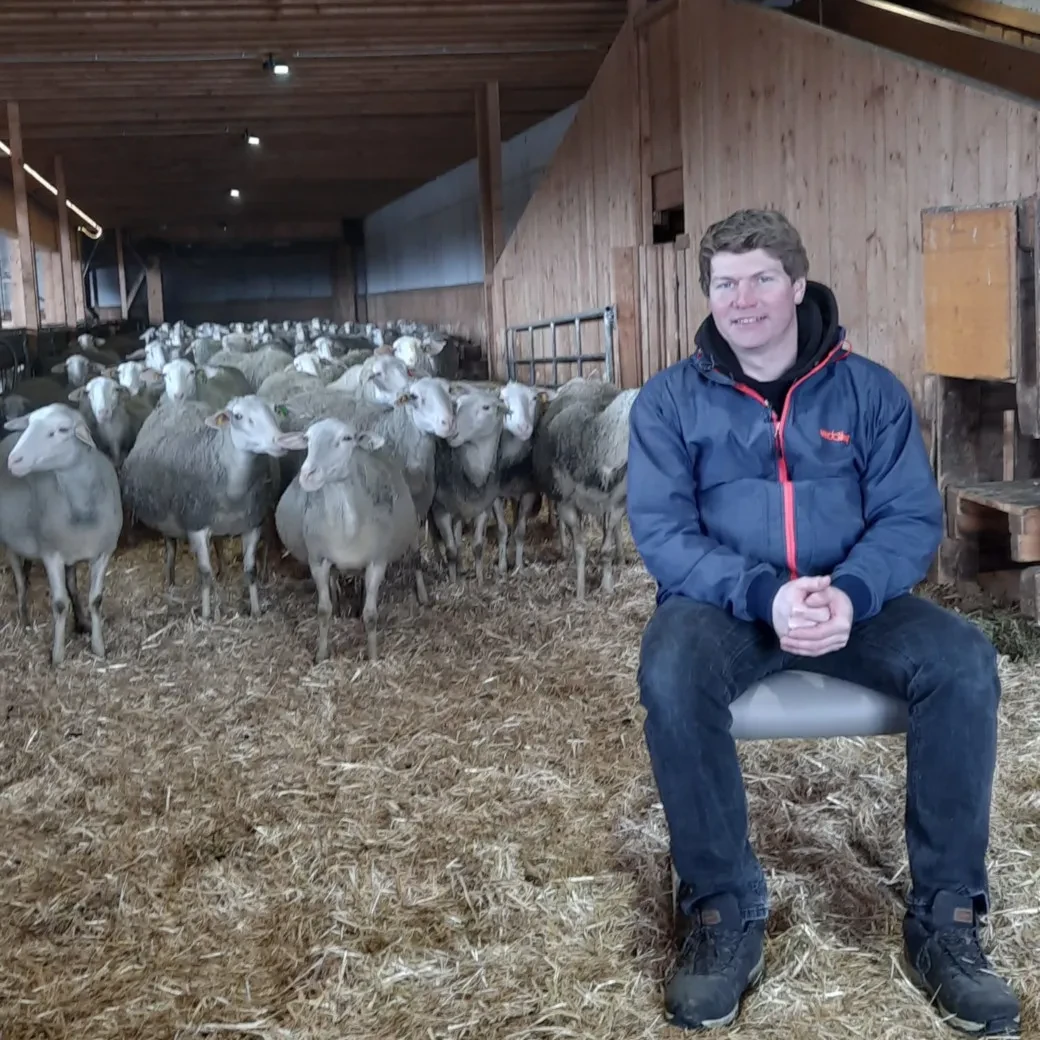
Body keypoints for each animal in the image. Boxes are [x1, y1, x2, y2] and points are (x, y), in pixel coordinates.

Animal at [120, 391, 289, 615]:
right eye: (238, 416)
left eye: (274, 409)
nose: (280, 440)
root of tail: (179, 403)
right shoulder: (196, 527)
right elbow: (205, 574)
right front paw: (207, 614)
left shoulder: (252, 525)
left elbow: (250, 570)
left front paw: (255, 610)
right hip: (167, 518)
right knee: (171, 548)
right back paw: (171, 581)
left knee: (217, 543)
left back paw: (222, 571)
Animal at [278, 411, 424, 657]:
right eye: (307, 439)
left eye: (347, 438)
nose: (308, 474)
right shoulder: (318, 560)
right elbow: (323, 610)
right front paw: (321, 654)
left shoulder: (377, 562)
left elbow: (371, 615)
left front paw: (373, 657)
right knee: (334, 579)